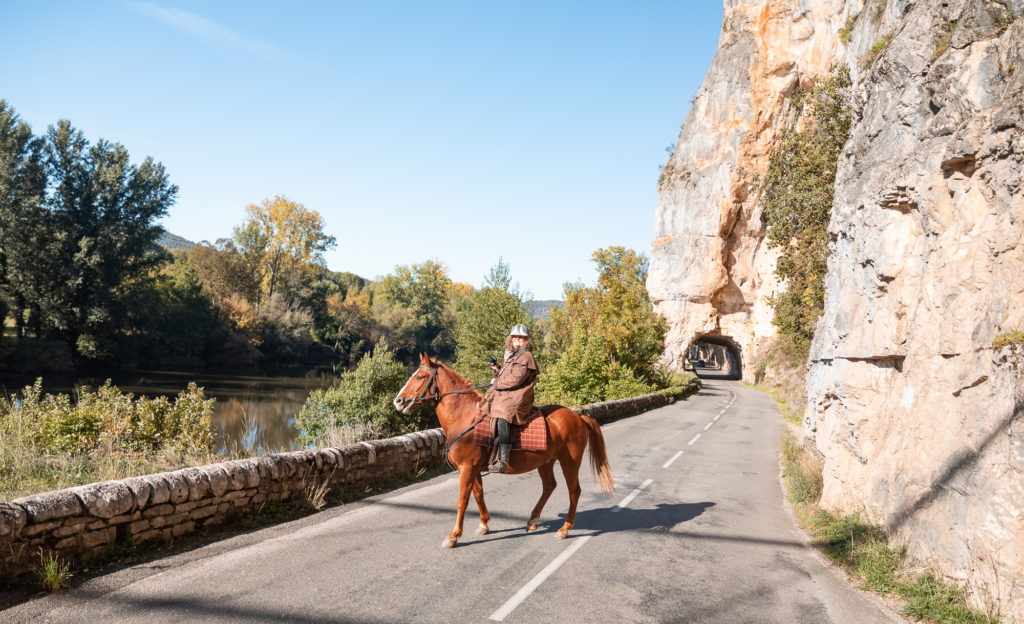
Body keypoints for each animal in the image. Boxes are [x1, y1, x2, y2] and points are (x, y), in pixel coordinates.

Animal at [393, 352, 614, 549]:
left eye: (419, 377)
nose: (398, 401)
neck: (464, 418)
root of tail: (578, 416)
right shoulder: (473, 470)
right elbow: (478, 495)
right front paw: (484, 525)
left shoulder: (466, 469)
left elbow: (462, 501)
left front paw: (454, 536)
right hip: (546, 462)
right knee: (549, 486)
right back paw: (532, 520)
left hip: (570, 461)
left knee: (574, 491)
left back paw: (565, 529)